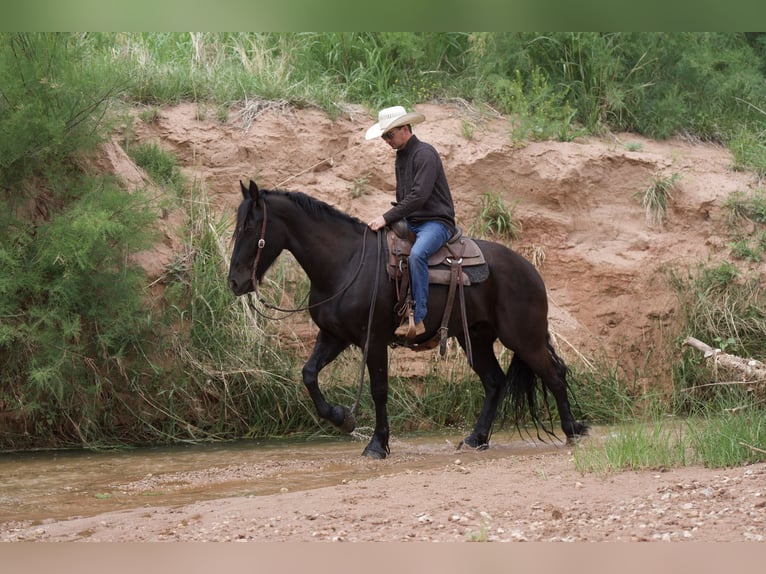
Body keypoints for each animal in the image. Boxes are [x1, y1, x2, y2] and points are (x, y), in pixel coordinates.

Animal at [228, 180, 588, 460]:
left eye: (250, 226)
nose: (235, 282)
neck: (345, 262)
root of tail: (530, 270)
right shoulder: (334, 336)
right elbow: (309, 374)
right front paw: (342, 418)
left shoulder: (372, 340)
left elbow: (378, 389)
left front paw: (377, 445)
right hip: (476, 338)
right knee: (495, 382)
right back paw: (476, 439)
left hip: (524, 338)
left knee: (554, 375)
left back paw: (573, 431)